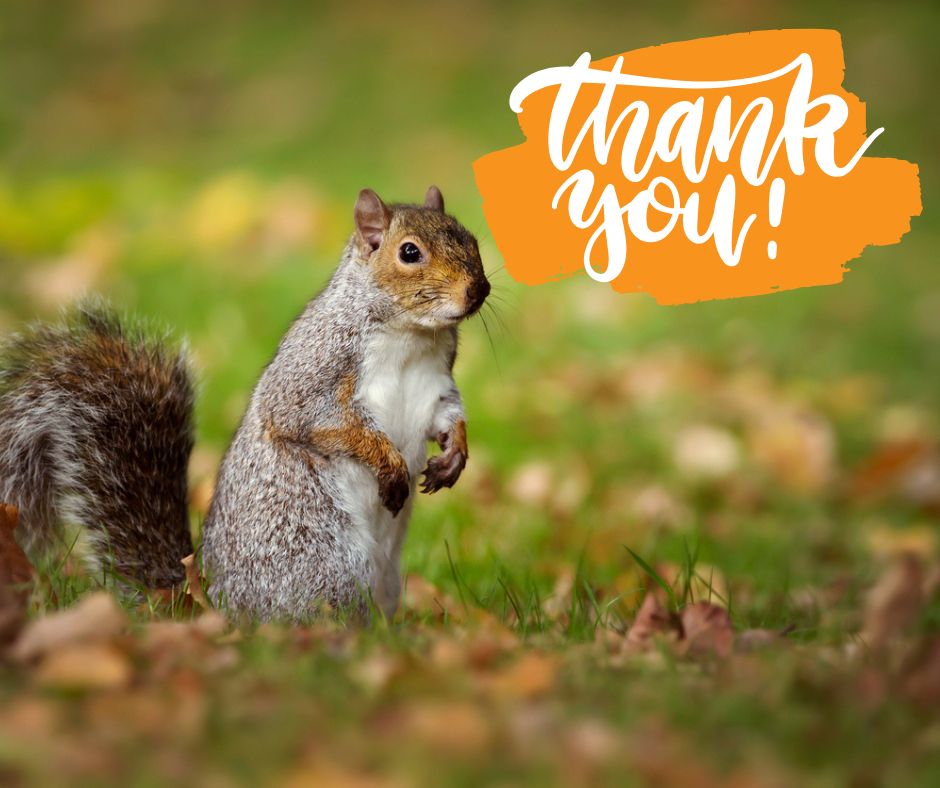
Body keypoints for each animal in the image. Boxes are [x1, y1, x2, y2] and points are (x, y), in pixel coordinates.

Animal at [0, 186, 488, 620]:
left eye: (471, 239)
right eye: (409, 253)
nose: (478, 289)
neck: (412, 334)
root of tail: (213, 603)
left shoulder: (436, 383)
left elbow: (447, 415)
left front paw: (455, 455)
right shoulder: (312, 372)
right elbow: (314, 420)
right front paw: (388, 463)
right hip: (321, 560)